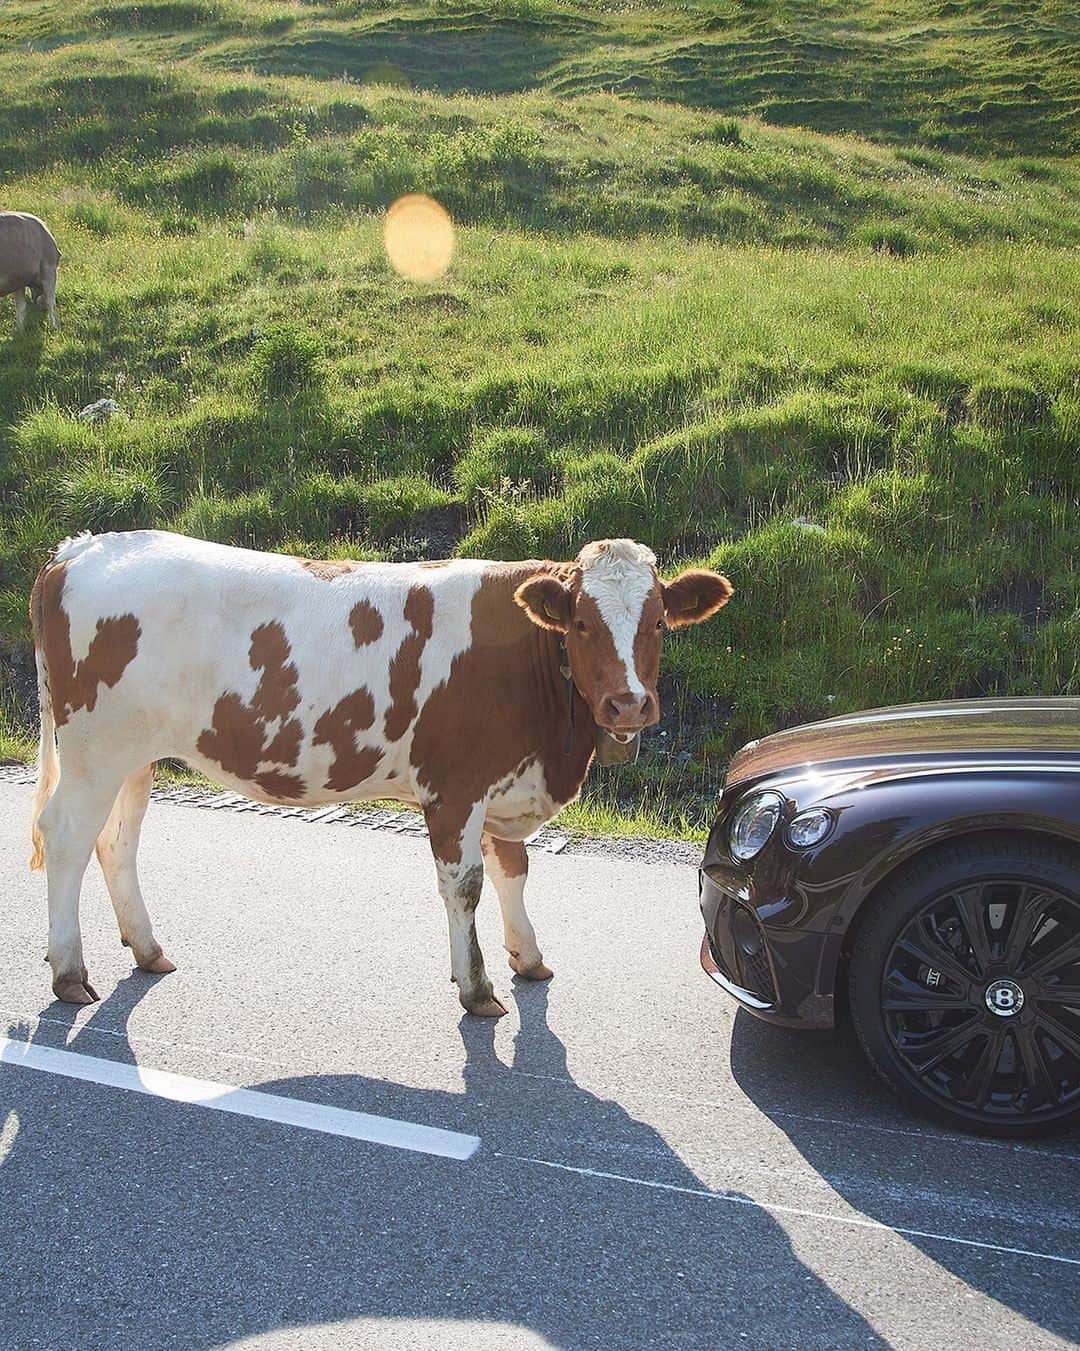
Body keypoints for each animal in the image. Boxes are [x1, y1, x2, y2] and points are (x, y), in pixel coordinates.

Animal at [27, 532, 735, 1015]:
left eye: (658, 622)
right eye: (583, 623)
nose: (629, 705)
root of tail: (83, 548)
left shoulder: (504, 785)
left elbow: (514, 870)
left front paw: (529, 958)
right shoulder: (455, 789)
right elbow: (466, 887)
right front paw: (477, 988)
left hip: (132, 756)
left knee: (117, 842)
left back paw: (147, 950)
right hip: (93, 751)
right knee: (65, 839)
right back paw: (69, 975)